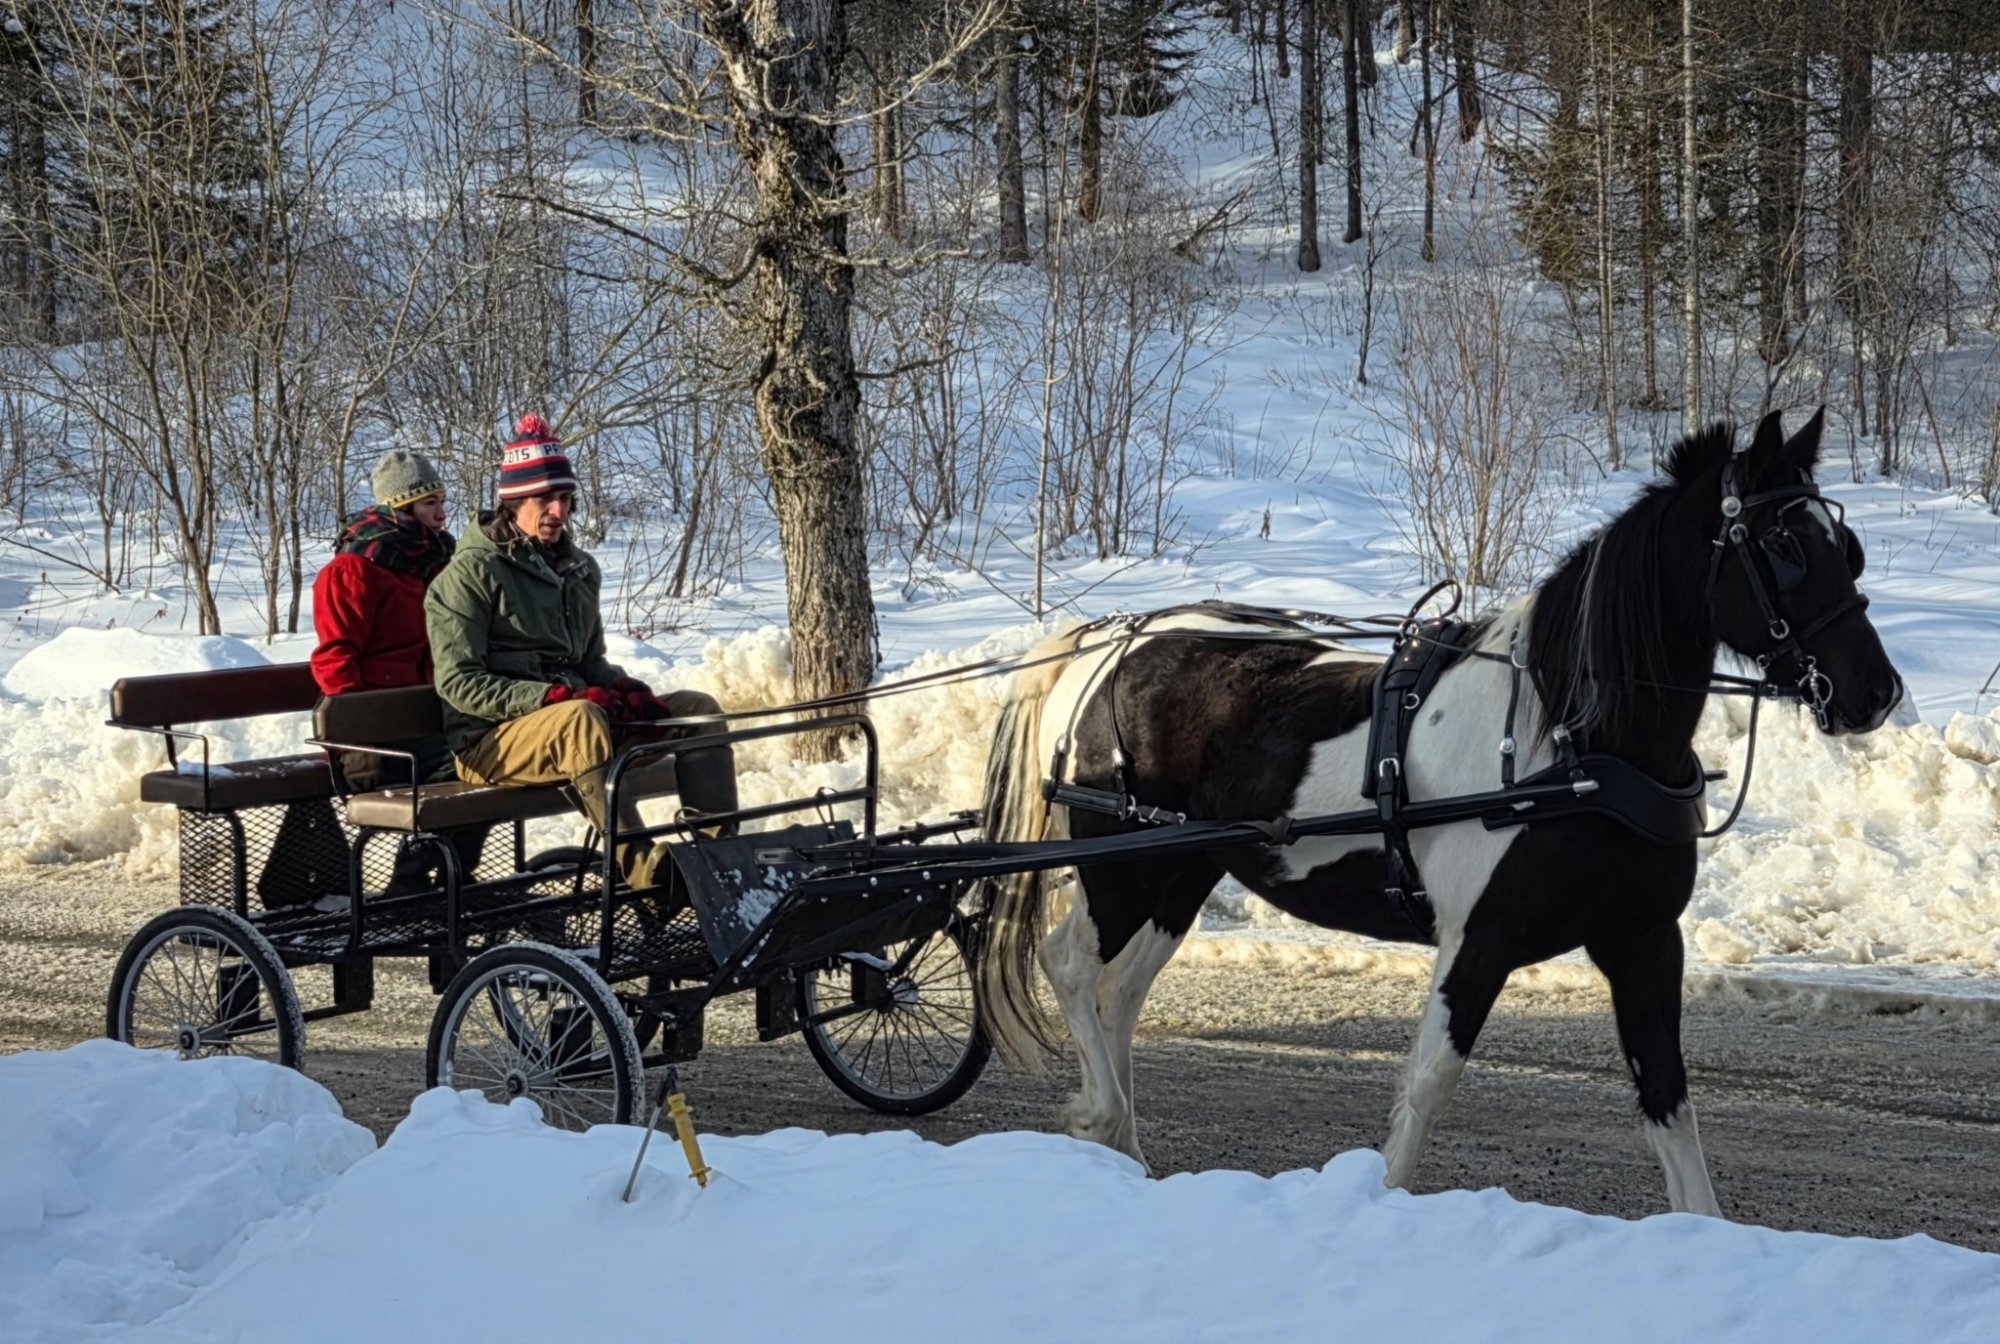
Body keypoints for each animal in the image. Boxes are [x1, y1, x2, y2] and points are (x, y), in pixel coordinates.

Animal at [972, 409, 1904, 1216]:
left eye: (1847, 545)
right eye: (1782, 547)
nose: (1876, 691)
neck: (1572, 746)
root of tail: (1108, 640)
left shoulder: (1643, 939)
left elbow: (1668, 1098)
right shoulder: (1478, 940)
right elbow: (1429, 1080)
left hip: (1183, 868)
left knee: (1121, 993)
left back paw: (1124, 1153)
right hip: (1125, 866)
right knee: (1070, 966)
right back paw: (1098, 1115)